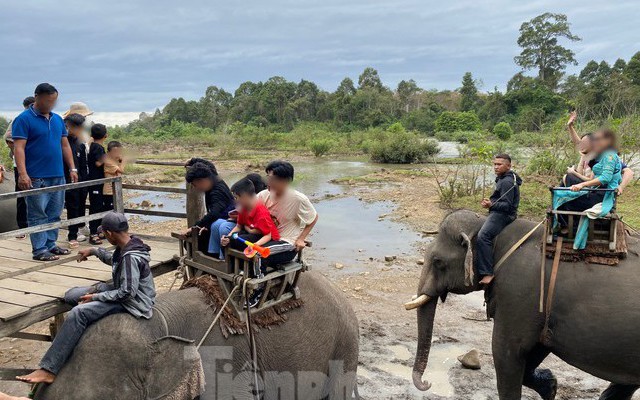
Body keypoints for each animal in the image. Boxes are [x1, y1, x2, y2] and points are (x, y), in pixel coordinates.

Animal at [404, 211, 640, 398]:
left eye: (438, 262)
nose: (427, 383)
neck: (489, 227)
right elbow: (537, 348)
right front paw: (551, 386)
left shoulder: (518, 293)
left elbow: (507, 352)